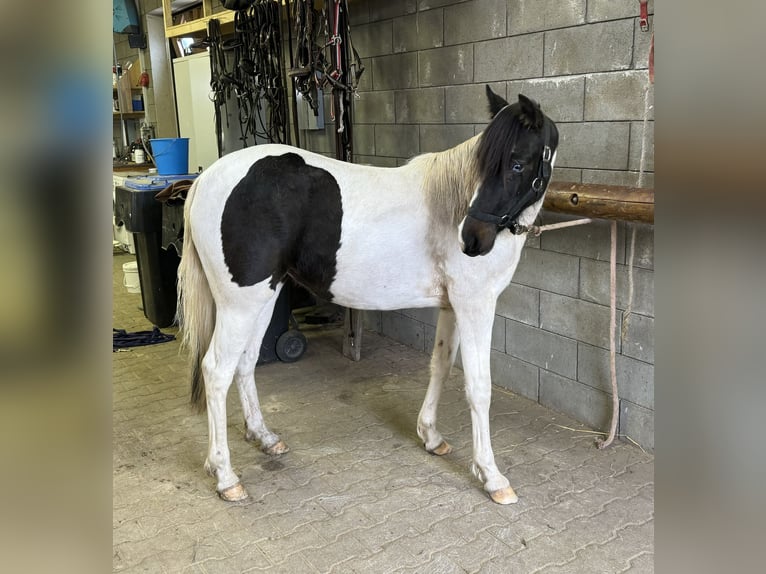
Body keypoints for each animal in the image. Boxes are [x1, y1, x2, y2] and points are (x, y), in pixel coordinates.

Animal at [182, 88, 560, 506]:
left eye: (517, 163)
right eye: (490, 162)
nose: (472, 240)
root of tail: (206, 181)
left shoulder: (453, 306)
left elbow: (440, 365)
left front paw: (431, 436)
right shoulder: (475, 304)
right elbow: (479, 387)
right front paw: (492, 476)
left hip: (263, 299)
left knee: (245, 363)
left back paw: (264, 437)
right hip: (239, 305)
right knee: (217, 370)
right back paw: (225, 476)